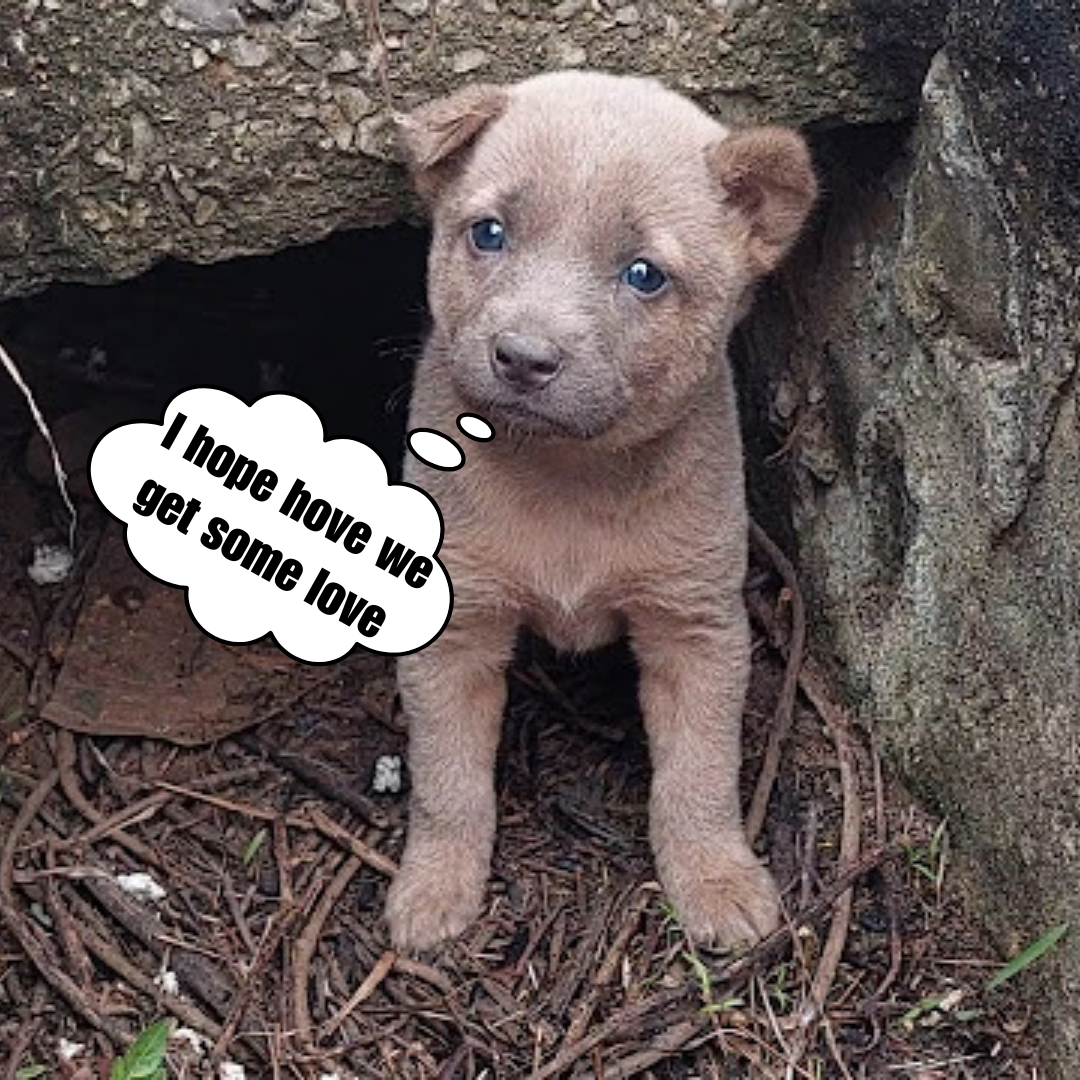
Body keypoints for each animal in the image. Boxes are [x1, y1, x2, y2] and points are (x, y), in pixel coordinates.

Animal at [384, 71, 812, 954]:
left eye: (644, 274)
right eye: (489, 232)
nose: (523, 357)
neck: (569, 479)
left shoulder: (698, 625)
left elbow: (699, 772)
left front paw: (717, 880)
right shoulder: (456, 623)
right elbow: (448, 779)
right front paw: (434, 889)